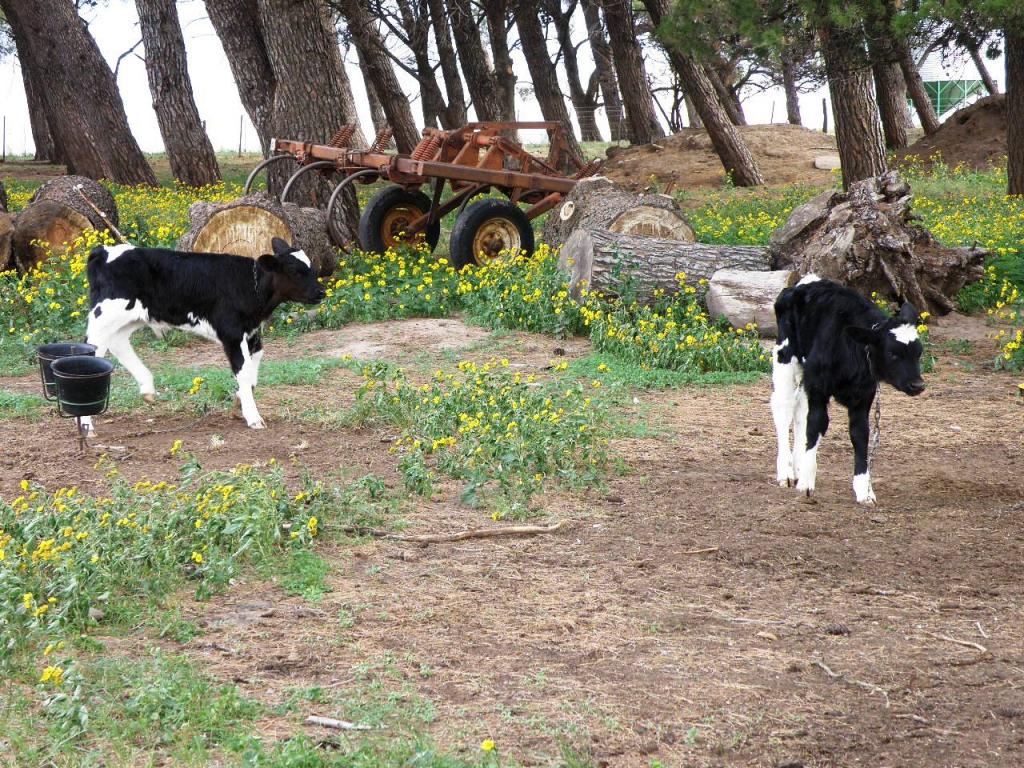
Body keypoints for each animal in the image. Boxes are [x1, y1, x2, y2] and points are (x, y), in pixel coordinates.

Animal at [83, 237, 323, 434]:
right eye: (295, 270)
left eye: (311, 268)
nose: (321, 292)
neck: (249, 286)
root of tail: (102, 251)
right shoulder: (232, 334)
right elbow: (244, 372)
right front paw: (253, 417)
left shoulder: (252, 335)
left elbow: (253, 371)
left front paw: (239, 401)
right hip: (105, 314)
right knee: (91, 353)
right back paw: (87, 424)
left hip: (131, 317)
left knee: (117, 342)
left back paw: (147, 388)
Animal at [770, 276, 929, 505]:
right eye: (893, 354)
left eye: (918, 353)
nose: (917, 385)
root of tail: (805, 282)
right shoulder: (819, 387)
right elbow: (816, 425)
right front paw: (807, 483)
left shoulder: (863, 396)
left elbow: (860, 434)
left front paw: (864, 490)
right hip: (785, 356)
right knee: (784, 407)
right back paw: (787, 471)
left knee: (800, 410)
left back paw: (798, 466)